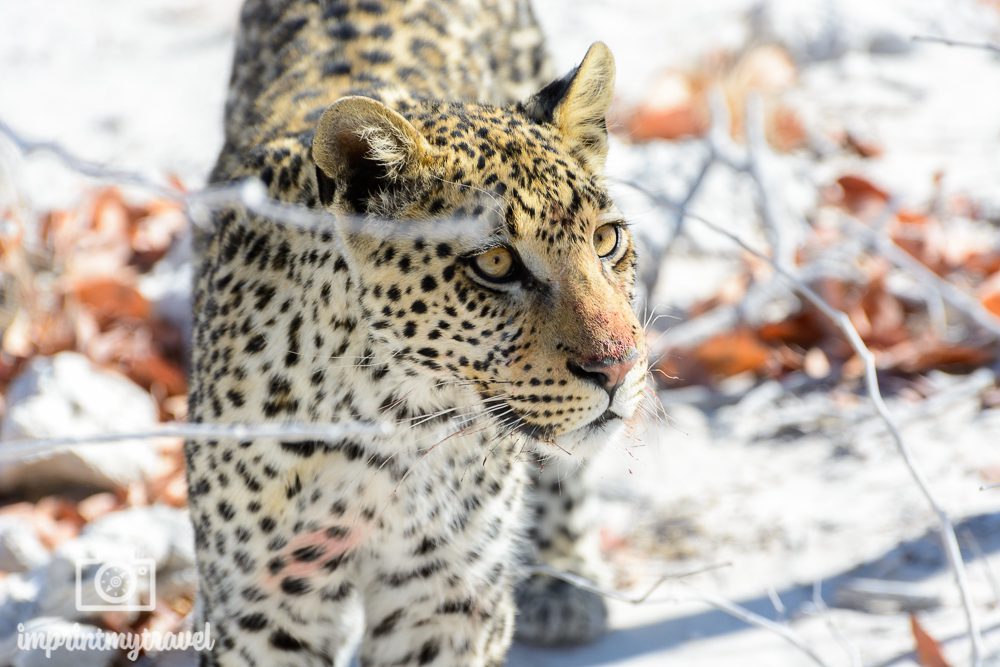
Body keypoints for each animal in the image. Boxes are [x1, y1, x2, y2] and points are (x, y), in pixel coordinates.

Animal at [186, 2, 648, 664]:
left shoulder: (447, 597)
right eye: (496, 263)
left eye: (606, 239)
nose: (618, 364)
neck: (393, 426)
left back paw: (564, 583)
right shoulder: (261, 605)